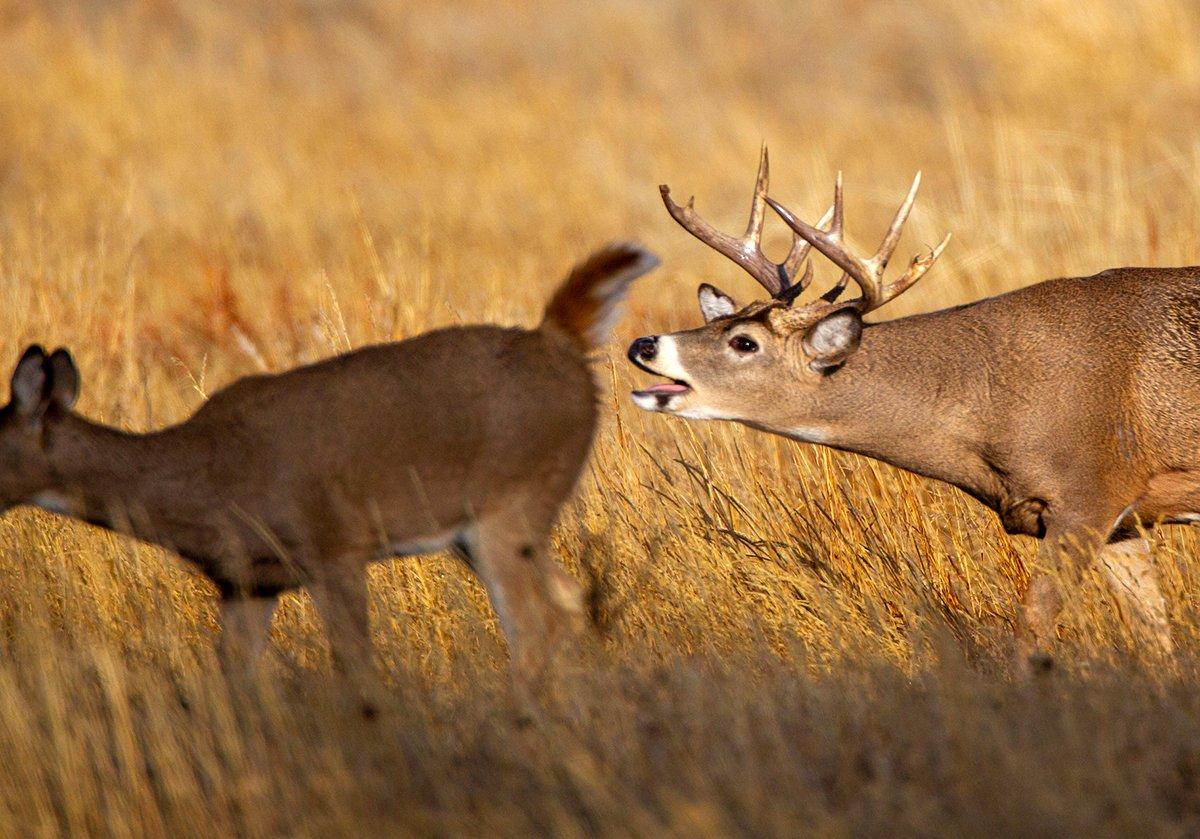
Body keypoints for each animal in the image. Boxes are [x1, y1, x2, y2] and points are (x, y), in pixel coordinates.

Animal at [2, 241, 657, 696]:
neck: (203, 471)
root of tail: (561, 343)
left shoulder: (334, 548)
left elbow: (357, 667)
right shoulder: (247, 581)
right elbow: (235, 677)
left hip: (510, 508)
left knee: (535, 627)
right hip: (488, 530)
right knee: (572, 604)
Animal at [628, 147, 1190, 672]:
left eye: (745, 343)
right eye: (720, 324)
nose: (643, 344)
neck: (992, 403)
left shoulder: (1090, 493)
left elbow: (1030, 631)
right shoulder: (1124, 520)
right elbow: (1155, 641)